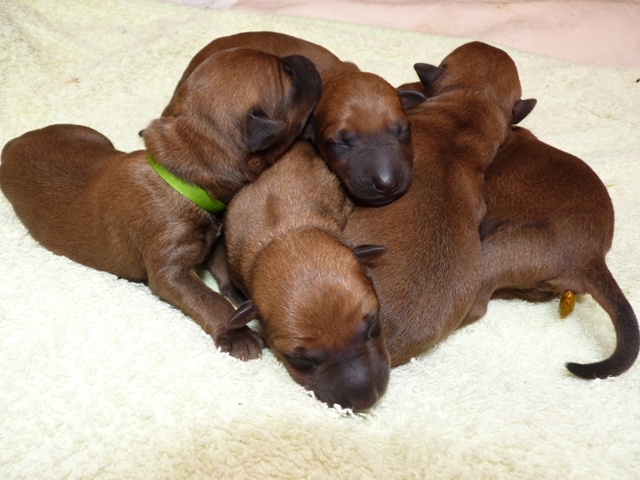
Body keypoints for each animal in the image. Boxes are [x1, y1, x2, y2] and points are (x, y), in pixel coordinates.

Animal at [0, 48, 323, 361]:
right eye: (289, 74)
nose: (305, 58)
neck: (182, 177)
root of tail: (10, 145)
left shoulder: (214, 244)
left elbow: (225, 273)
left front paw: (245, 301)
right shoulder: (170, 270)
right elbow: (210, 299)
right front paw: (237, 334)